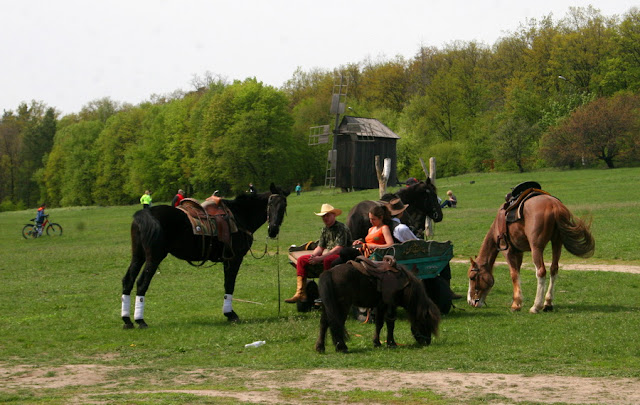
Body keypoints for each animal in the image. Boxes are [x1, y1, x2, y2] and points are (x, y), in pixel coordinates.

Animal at [120, 183, 290, 328]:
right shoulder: (234, 259)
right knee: (141, 283)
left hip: (138, 256)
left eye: (284, 206)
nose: (273, 230)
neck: (239, 216)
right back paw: (140, 320)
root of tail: (144, 214)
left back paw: (127, 320)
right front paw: (230, 313)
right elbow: (229, 284)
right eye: (270, 204)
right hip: (154, 258)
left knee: (128, 280)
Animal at [464, 193, 596, 312]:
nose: (470, 302)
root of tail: (554, 205)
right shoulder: (519, 252)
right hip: (557, 243)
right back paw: (548, 303)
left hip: (536, 247)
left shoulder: (507, 251)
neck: (497, 224)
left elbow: (514, 274)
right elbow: (518, 273)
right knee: (554, 269)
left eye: (472, 277)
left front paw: (516, 304)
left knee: (541, 272)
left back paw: (536, 306)